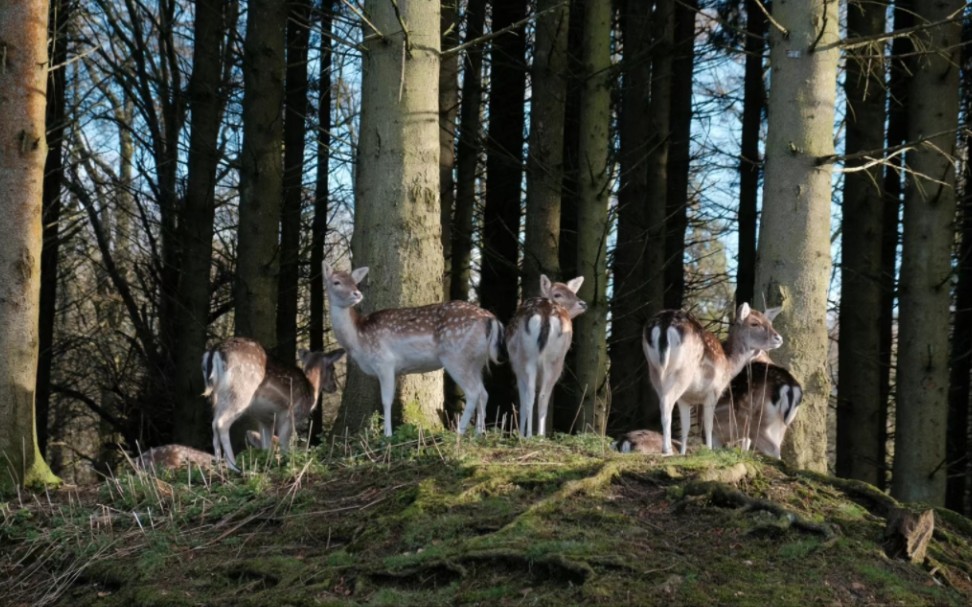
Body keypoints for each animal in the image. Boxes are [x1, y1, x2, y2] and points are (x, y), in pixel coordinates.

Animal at [201, 340, 346, 472]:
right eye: (333, 368)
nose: (334, 387)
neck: (311, 390)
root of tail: (215, 351)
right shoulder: (289, 414)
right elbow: (284, 444)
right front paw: (286, 464)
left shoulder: (265, 419)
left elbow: (266, 445)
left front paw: (267, 463)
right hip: (239, 391)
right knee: (221, 423)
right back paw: (234, 467)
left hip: (218, 396)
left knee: (214, 423)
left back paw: (218, 465)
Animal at [322, 262, 504, 436]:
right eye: (337, 282)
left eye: (354, 283)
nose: (357, 294)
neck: (358, 340)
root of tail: (491, 318)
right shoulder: (395, 370)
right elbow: (390, 399)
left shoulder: (384, 361)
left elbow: (386, 400)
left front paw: (387, 435)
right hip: (476, 361)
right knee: (483, 393)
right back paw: (479, 433)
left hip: (456, 357)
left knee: (473, 393)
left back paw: (459, 433)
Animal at [508, 274, 584, 436]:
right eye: (558, 294)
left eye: (573, 292)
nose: (583, 303)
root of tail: (546, 313)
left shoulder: (517, 368)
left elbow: (522, 402)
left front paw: (520, 433)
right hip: (554, 360)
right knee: (542, 395)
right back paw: (539, 435)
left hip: (528, 357)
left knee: (532, 394)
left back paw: (529, 435)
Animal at [640, 304, 784, 456]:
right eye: (754, 323)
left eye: (770, 323)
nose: (779, 338)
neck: (728, 365)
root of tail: (665, 323)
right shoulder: (713, 391)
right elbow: (708, 424)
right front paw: (708, 450)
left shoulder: (685, 398)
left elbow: (686, 427)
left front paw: (683, 453)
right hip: (682, 372)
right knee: (666, 403)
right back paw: (667, 450)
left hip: (654, 370)